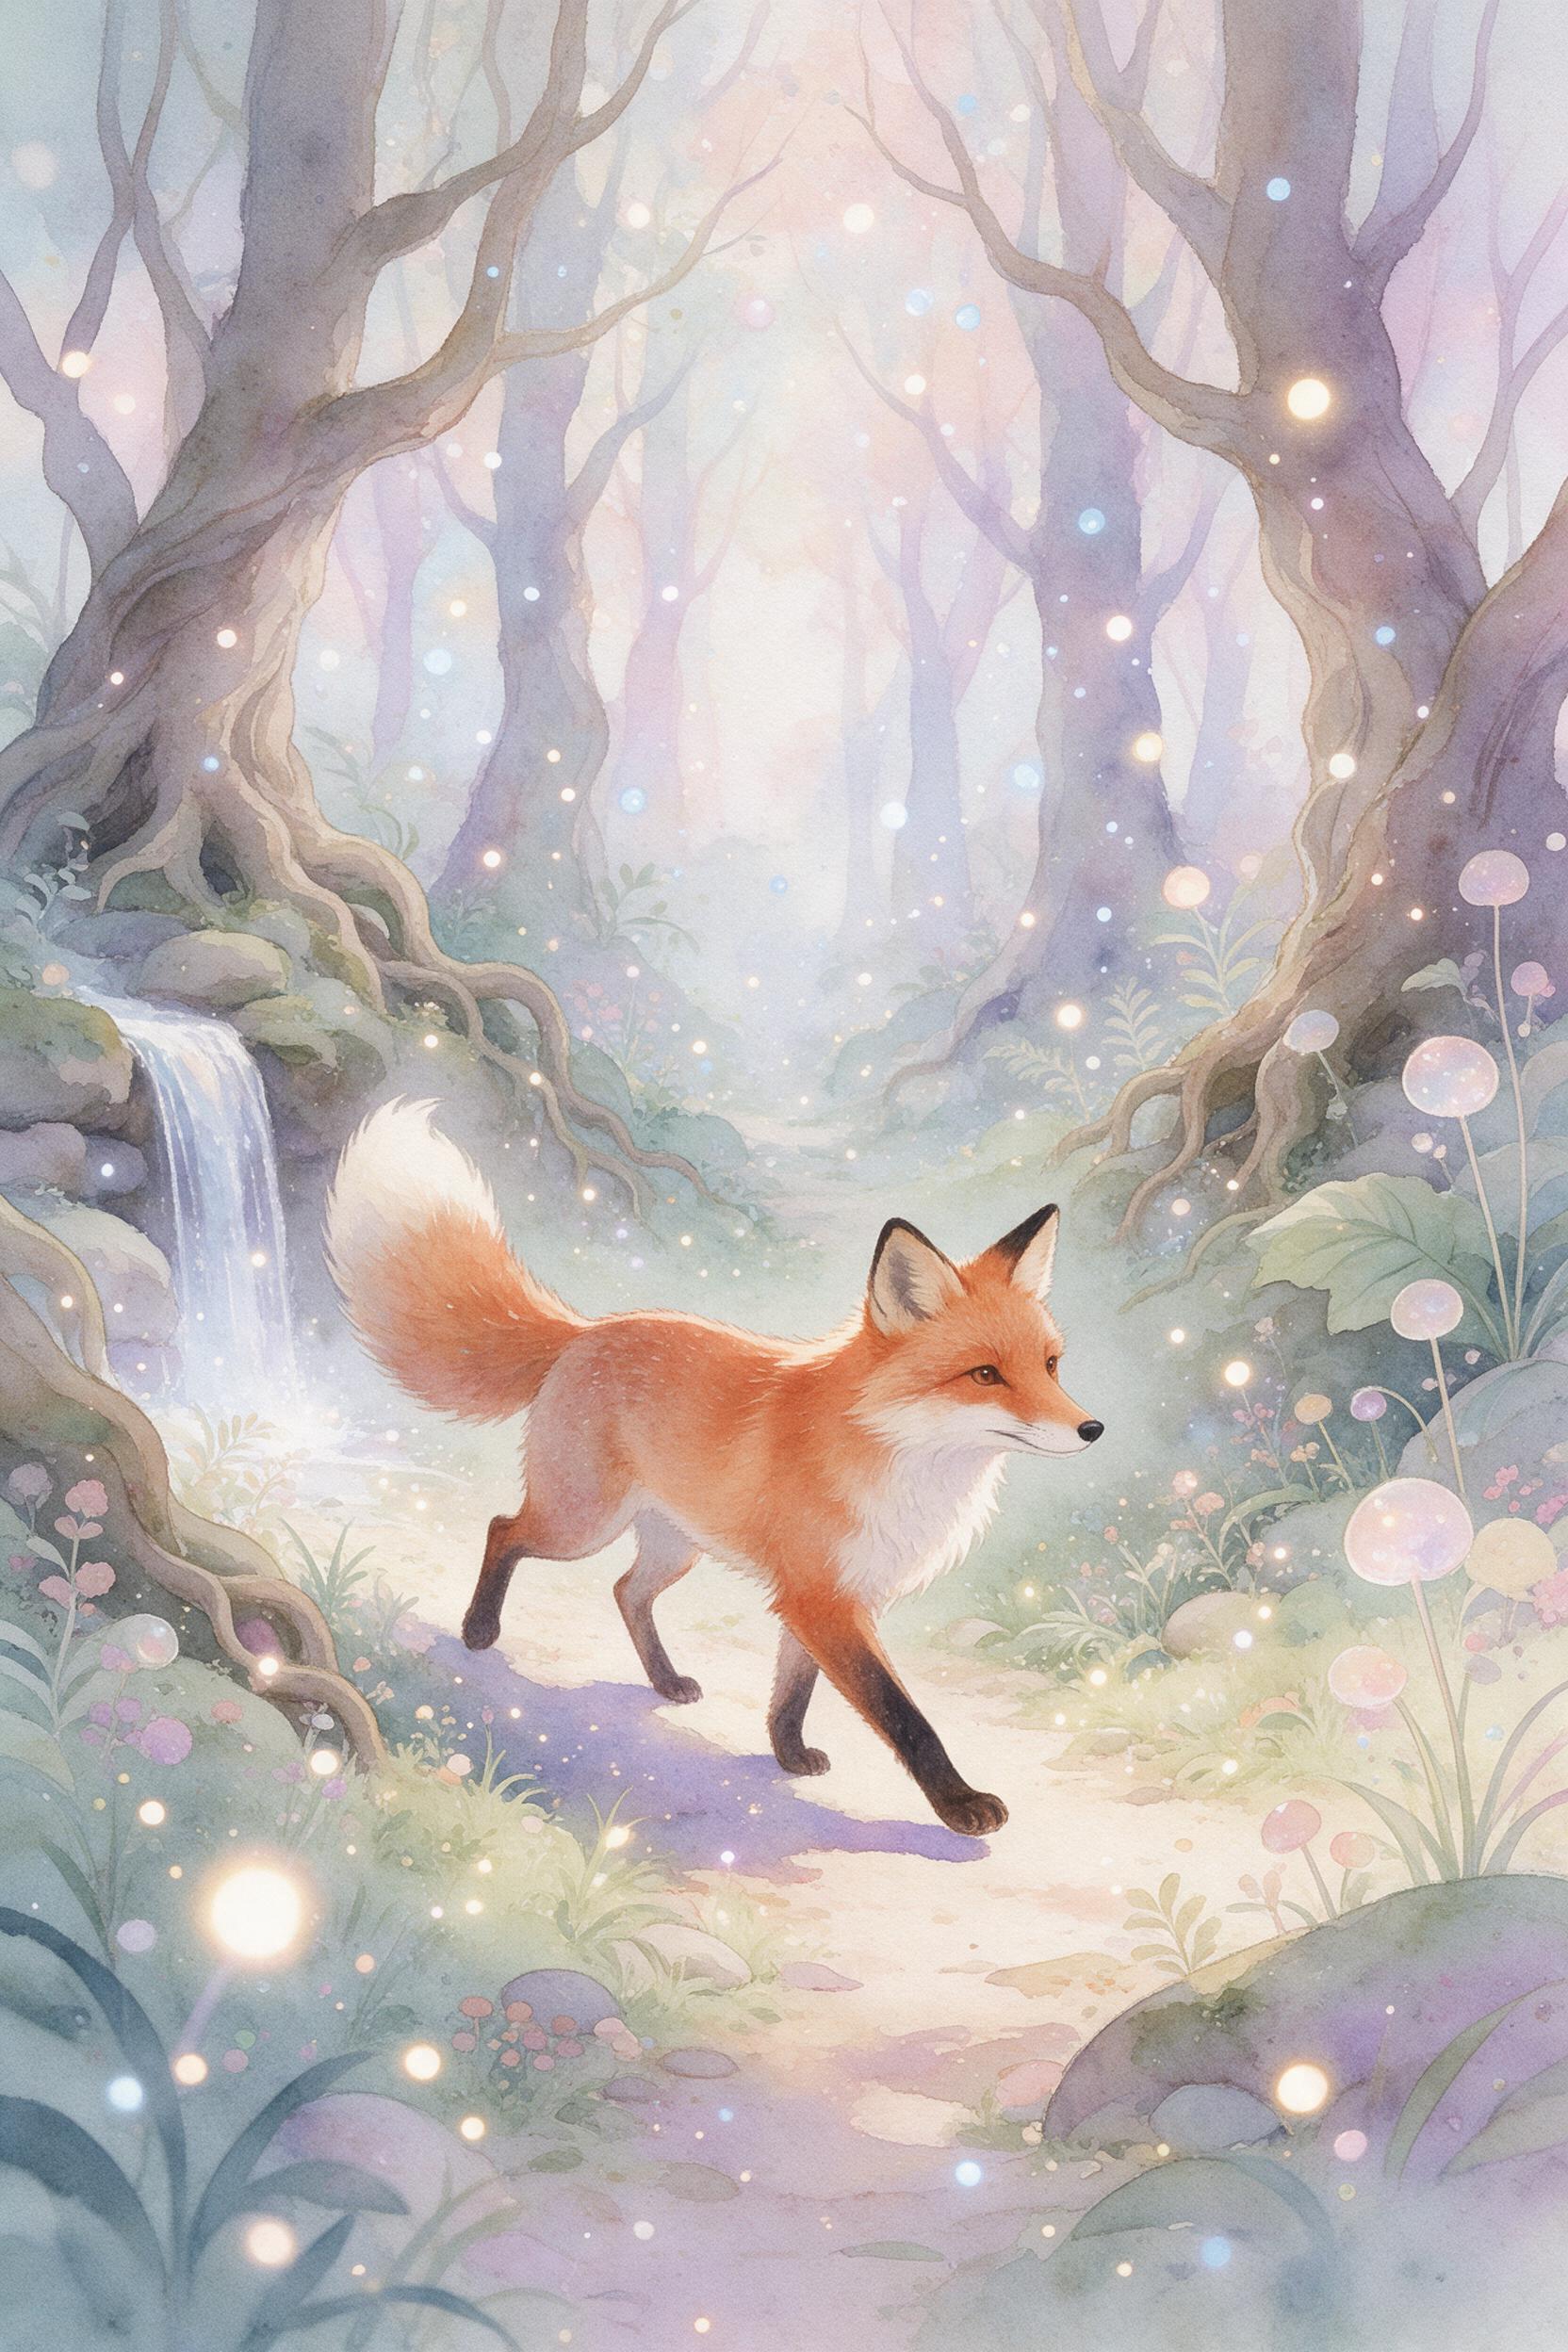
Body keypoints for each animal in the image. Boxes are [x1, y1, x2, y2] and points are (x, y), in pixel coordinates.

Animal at [325, 1100, 1103, 1836]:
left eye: (1050, 1365)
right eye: (985, 1375)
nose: (1092, 1429)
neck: (898, 1461)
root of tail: (587, 1330)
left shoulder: (817, 1597)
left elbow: (792, 1693)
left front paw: (787, 1756)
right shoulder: (823, 1599)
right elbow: (905, 1718)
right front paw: (960, 1805)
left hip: (674, 1548)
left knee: (625, 1591)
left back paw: (666, 1683)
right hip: (579, 1523)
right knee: (502, 1529)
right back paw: (479, 1630)